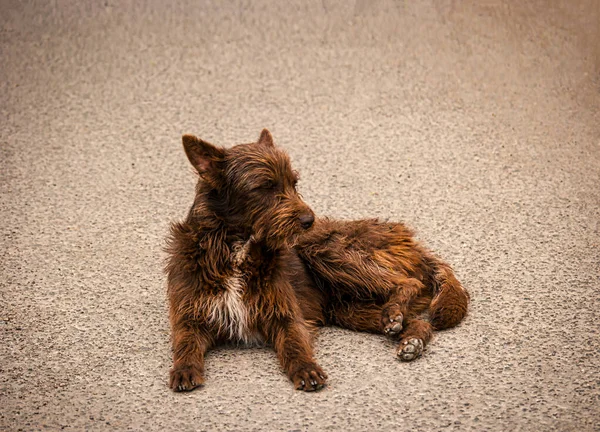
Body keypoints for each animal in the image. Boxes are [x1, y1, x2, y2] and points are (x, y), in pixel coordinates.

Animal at [165, 128, 468, 392]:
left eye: (293, 182)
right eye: (264, 187)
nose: (308, 220)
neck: (236, 251)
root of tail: (413, 243)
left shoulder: (285, 314)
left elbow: (294, 344)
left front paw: (306, 368)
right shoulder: (190, 316)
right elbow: (184, 342)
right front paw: (184, 369)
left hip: (325, 251)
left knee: (409, 282)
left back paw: (395, 313)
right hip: (349, 308)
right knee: (419, 321)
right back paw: (411, 337)